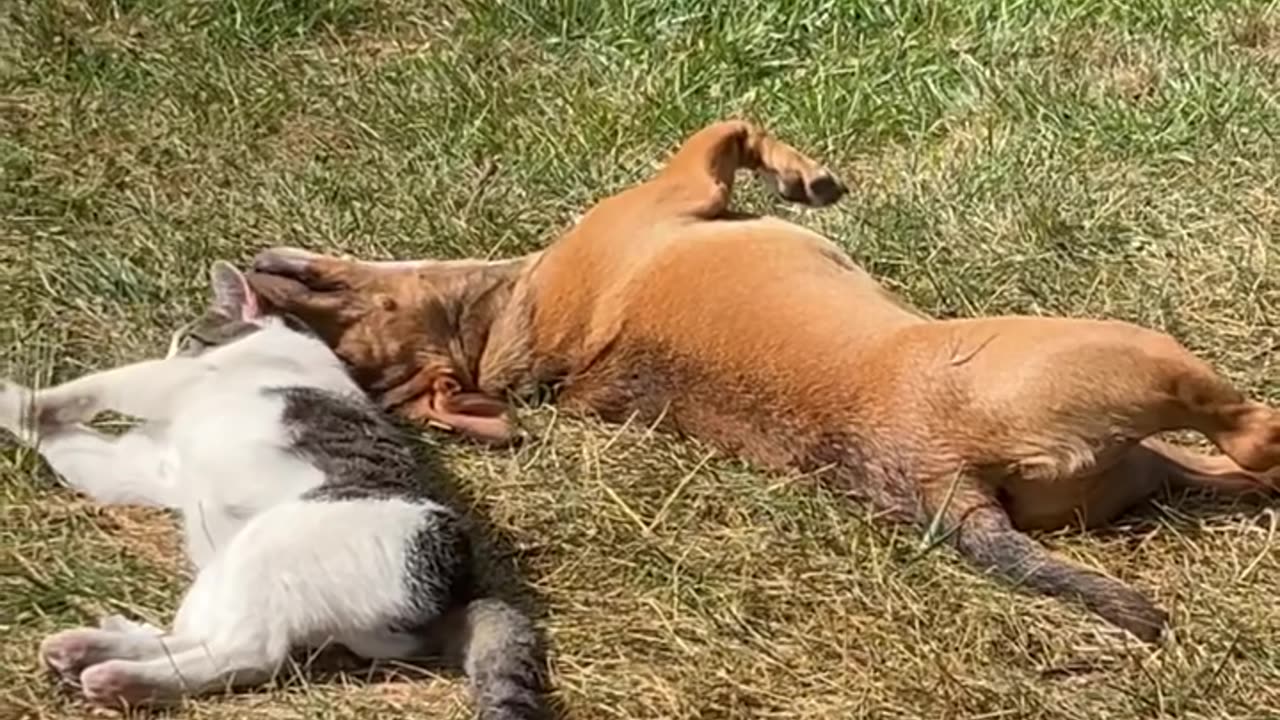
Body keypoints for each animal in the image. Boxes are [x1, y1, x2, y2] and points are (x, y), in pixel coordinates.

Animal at [0, 257, 545, 712]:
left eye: (189, 339)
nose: (172, 349)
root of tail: (455, 592)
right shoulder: (142, 467)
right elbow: (66, 445)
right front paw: (26, 417)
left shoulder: (173, 381)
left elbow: (94, 388)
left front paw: (18, 397)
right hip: (227, 571)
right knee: (200, 636)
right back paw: (87, 650)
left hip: (269, 547)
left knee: (246, 654)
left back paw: (117, 678)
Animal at [244, 119, 1280, 638]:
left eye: (340, 332)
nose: (256, 280)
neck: (499, 327)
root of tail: (936, 486)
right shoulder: (679, 184)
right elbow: (729, 125)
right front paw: (802, 174)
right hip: (1130, 355)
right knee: (1252, 429)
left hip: (1138, 461)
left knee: (1242, 468)